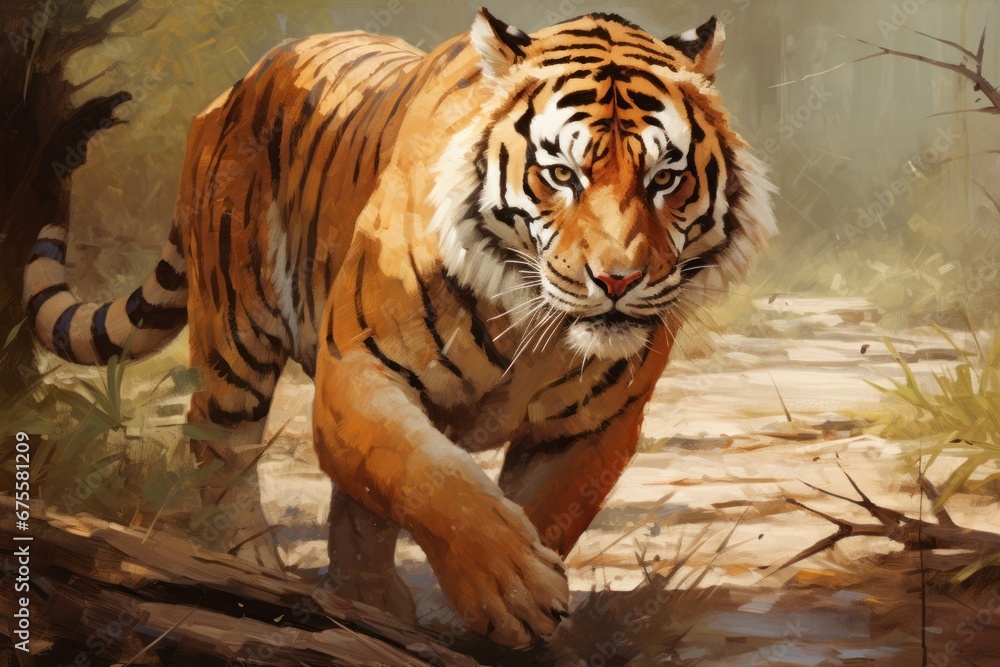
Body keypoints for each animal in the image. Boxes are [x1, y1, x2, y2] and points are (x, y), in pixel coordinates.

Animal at [23, 8, 776, 647]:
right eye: (561, 174)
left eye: (665, 178)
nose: (617, 280)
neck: (535, 325)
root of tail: (241, 82)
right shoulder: (356, 370)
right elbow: (429, 477)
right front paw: (511, 589)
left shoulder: (595, 427)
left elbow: (542, 510)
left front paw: (509, 612)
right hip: (236, 330)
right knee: (218, 440)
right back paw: (256, 565)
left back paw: (366, 600)